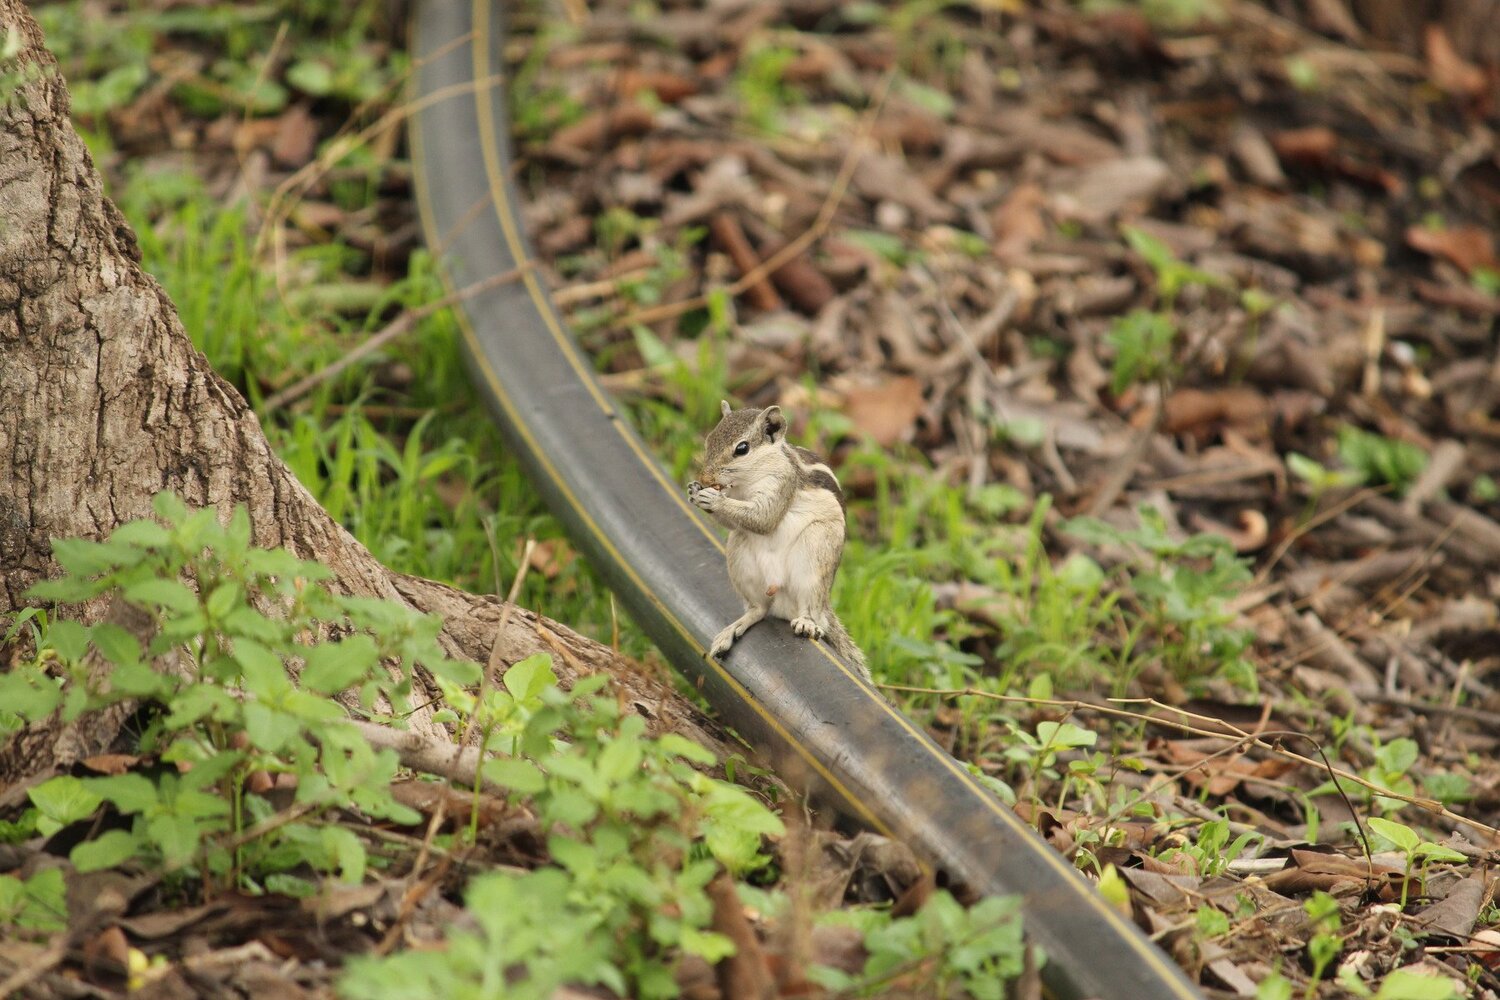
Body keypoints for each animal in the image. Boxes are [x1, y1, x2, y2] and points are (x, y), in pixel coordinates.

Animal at [688, 401, 870, 681]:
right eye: (709, 440)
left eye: (742, 448)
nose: (706, 479)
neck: (745, 483)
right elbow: (734, 523)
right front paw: (696, 490)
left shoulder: (782, 484)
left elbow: (764, 518)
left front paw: (714, 499)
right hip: (740, 557)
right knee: (760, 610)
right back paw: (735, 628)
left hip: (814, 553)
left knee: (809, 608)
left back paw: (807, 623)